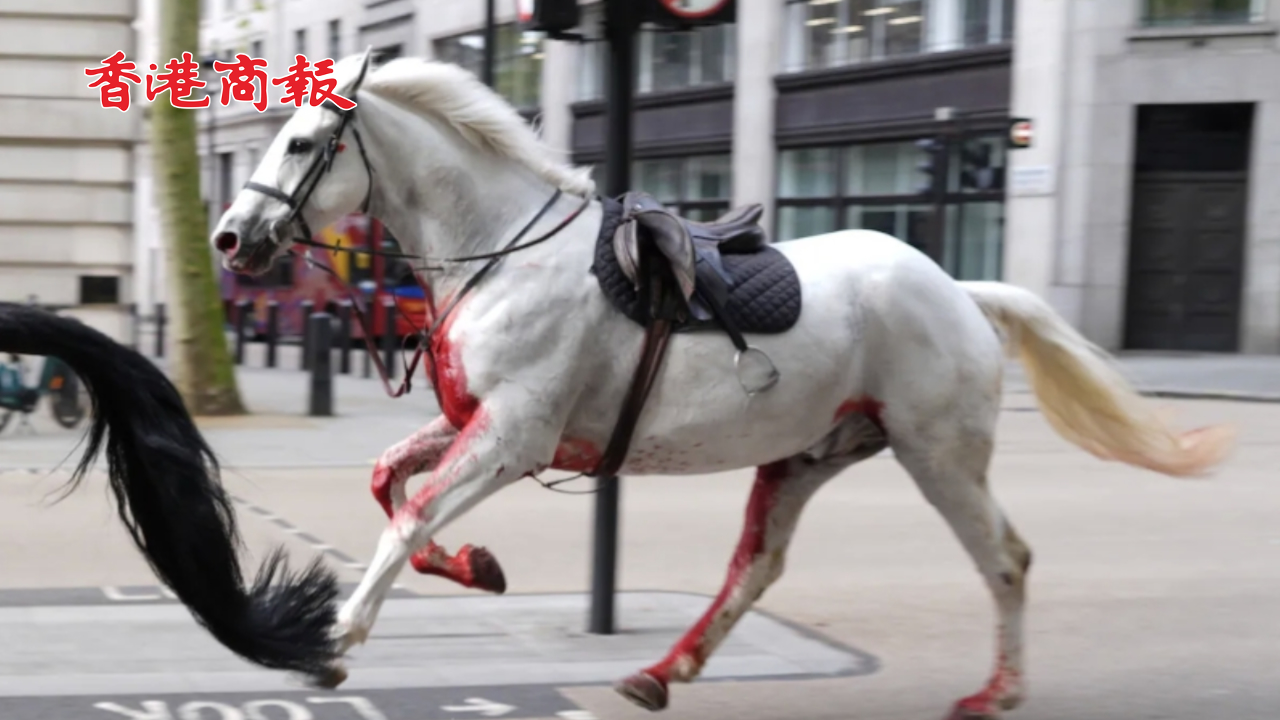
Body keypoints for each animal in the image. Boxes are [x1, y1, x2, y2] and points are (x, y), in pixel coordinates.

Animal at [208, 50, 1234, 719]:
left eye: (301, 142)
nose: (228, 237)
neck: (502, 252)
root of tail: (957, 289)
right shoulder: (481, 426)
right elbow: (389, 484)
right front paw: (476, 567)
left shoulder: (512, 435)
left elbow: (410, 517)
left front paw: (334, 644)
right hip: (810, 455)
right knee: (758, 566)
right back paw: (663, 671)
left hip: (937, 453)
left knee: (1006, 559)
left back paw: (999, 691)